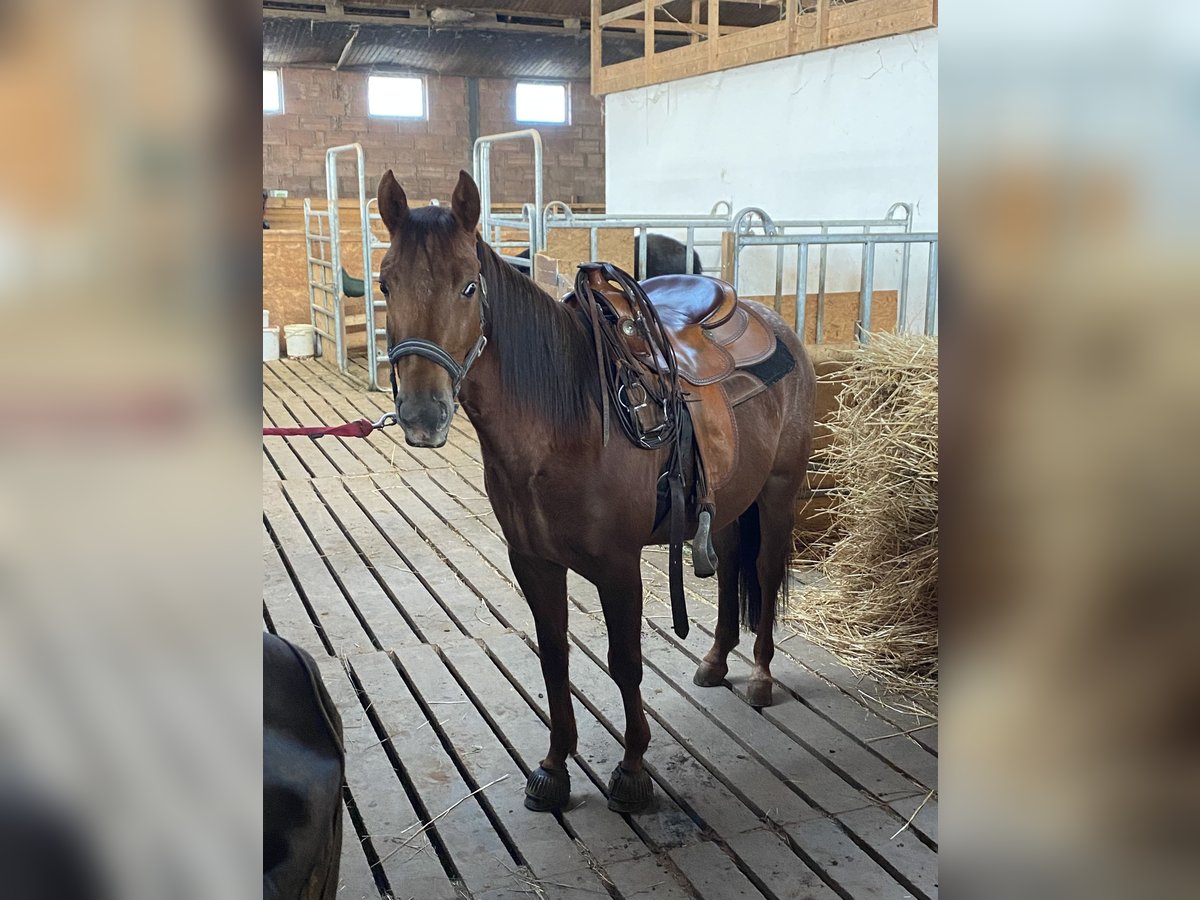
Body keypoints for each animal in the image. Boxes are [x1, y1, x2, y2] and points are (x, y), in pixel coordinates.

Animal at [374, 170, 816, 816]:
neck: (566, 424)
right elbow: (554, 657)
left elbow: (624, 663)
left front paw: (632, 771)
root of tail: (773, 321)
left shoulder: (618, 566)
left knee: (762, 567)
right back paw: (715, 660)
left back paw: (759, 674)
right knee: (733, 560)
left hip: (779, 493)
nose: (422, 414)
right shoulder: (533, 562)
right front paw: (555, 767)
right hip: (733, 500)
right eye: (385, 283)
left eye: (469, 287)